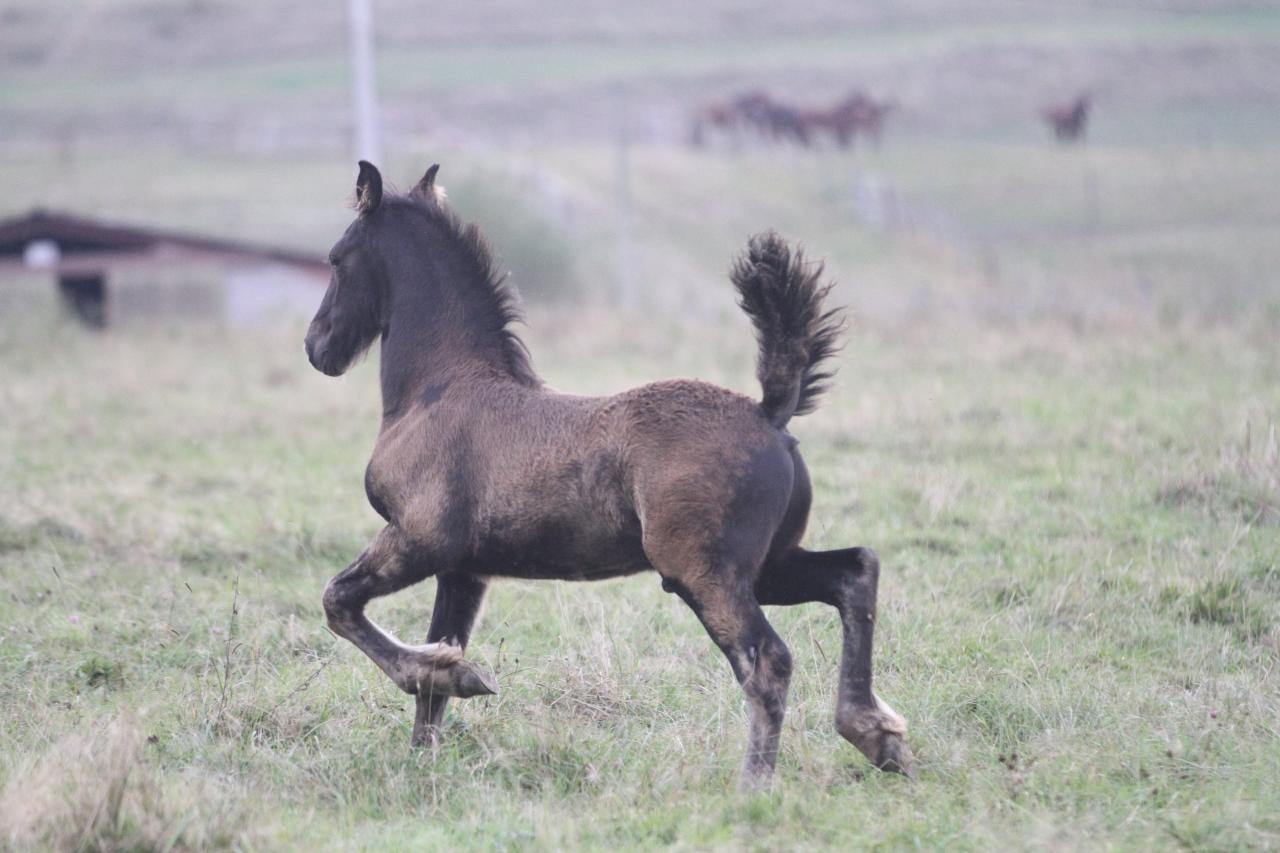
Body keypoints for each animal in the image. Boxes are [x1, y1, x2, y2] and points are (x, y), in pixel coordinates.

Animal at [304, 159, 916, 783]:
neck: (440, 388)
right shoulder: (463, 571)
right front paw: (429, 740)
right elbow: (432, 680)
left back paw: (756, 782)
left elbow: (339, 603)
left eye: (335, 257)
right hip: (767, 566)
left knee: (768, 659)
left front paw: (460, 675)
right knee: (853, 574)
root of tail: (769, 412)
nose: (317, 347)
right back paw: (876, 736)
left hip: (703, 573)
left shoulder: (418, 539)